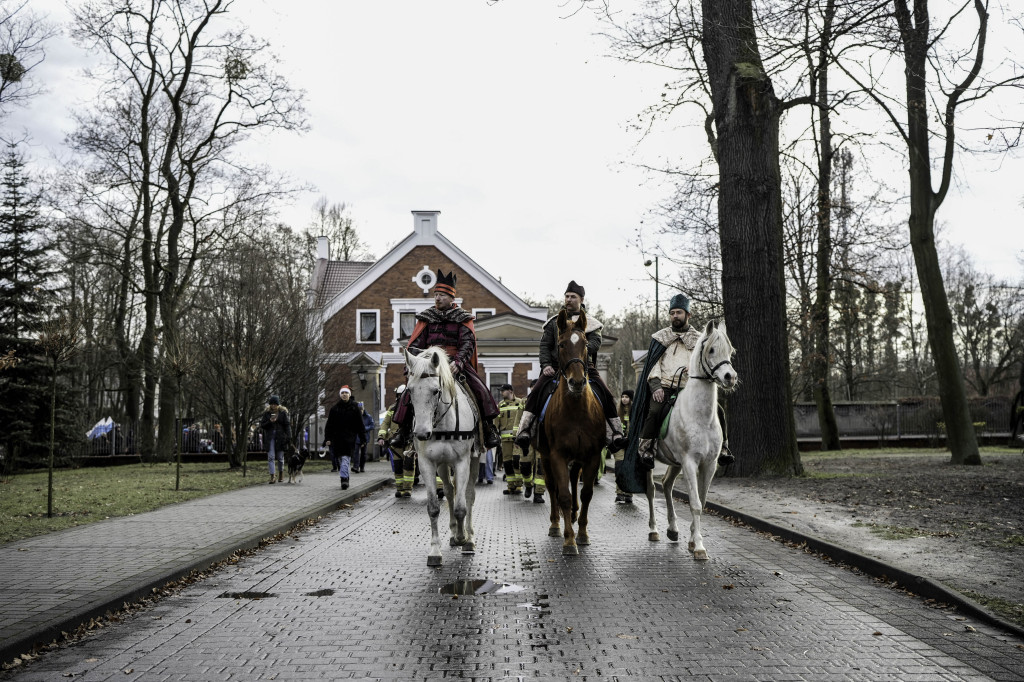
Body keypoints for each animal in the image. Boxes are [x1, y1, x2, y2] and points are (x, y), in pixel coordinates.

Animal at [401, 346, 481, 561]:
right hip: (443, 465)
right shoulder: (427, 463)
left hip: (474, 460)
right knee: (449, 490)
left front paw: (463, 538)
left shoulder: (463, 461)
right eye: (409, 390)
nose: (421, 433)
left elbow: (462, 506)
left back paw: (468, 537)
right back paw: (453, 533)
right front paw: (435, 550)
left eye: (436, 390)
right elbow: (434, 508)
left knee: (468, 494)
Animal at [540, 307, 602, 552]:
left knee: (575, 479)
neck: (576, 411)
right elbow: (563, 495)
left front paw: (582, 533)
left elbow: (586, 493)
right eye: (562, 344)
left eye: (585, 343)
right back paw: (555, 523)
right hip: (545, 456)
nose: (576, 382)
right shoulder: (557, 455)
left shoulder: (593, 455)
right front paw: (568, 539)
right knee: (552, 487)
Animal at [647, 319, 737, 557]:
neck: (700, 417)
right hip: (648, 463)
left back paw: (672, 529)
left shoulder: (709, 464)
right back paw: (654, 530)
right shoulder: (689, 462)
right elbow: (695, 503)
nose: (730, 377)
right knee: (651, 490)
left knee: (666, 485)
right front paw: (699, 547)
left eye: (730, 351)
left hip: (674, 462)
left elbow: (702, 502)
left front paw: (691, 539)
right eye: (711, 349)